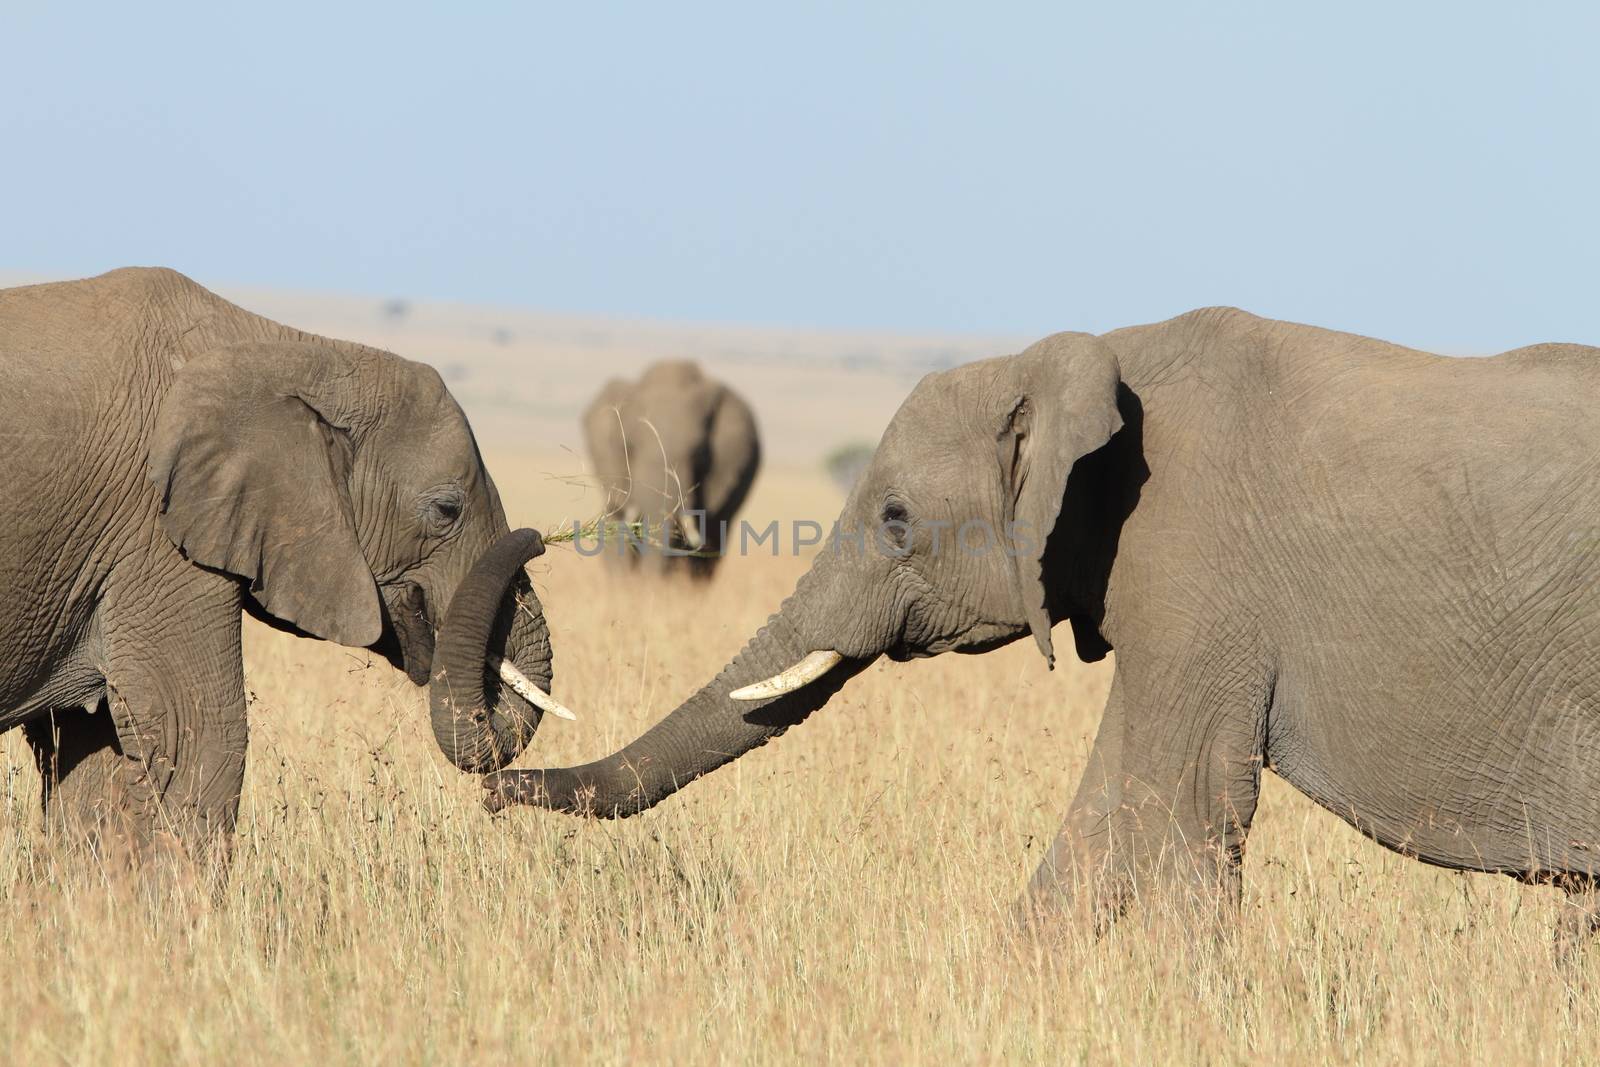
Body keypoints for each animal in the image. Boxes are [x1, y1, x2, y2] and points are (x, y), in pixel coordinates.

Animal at [0, 265, 576, 870]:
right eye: (447, 510)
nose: (539, 540)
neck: (295, 352)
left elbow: (92, 757)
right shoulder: (155, 537)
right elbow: (201, 736)